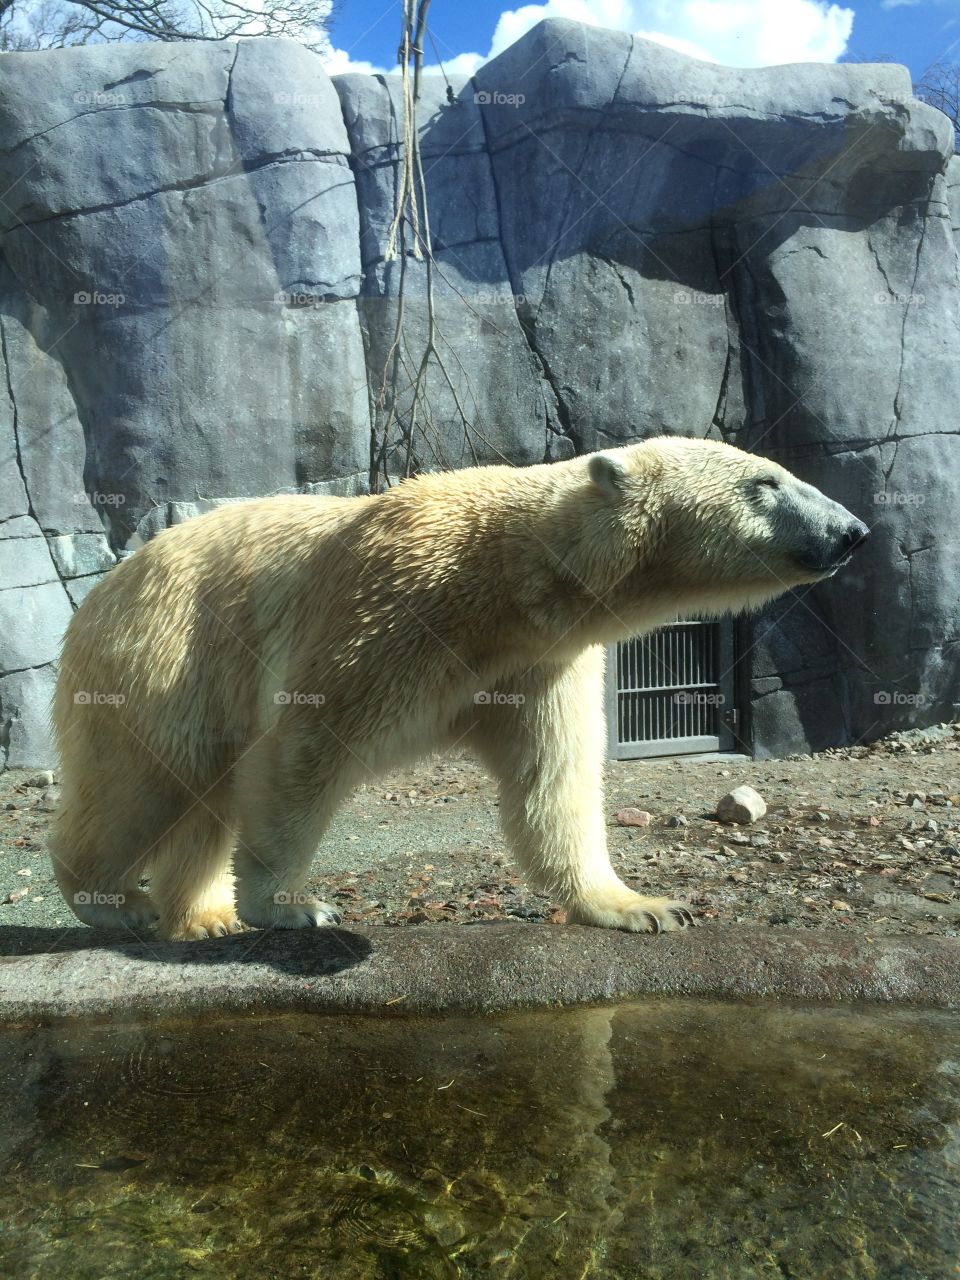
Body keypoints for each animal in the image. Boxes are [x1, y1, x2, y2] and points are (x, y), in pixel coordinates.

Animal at [49, 437, 868, 941]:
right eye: (765, 482)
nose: (853, 530)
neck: (509, 583)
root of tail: (103, 591)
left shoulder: (541, 660)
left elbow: (553, 781)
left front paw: (644, 907)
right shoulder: (394, 607)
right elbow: (304, 747)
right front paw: (291, 906)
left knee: (199, 797)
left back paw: (200, 915)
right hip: (166, 653)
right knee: (144, 784)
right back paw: (114, 902)